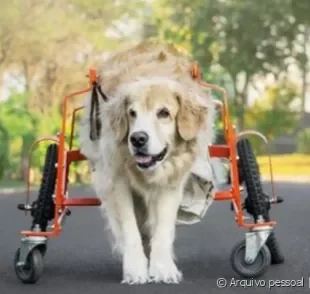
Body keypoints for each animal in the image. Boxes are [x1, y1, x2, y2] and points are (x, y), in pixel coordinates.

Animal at [78, 40, 217, 284]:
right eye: (132, 113)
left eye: (164, 113)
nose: (137, 139)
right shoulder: (116, 182)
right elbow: (129, 229)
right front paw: (135, 268)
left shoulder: (170, 184)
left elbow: (162, 229)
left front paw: (162, 268)